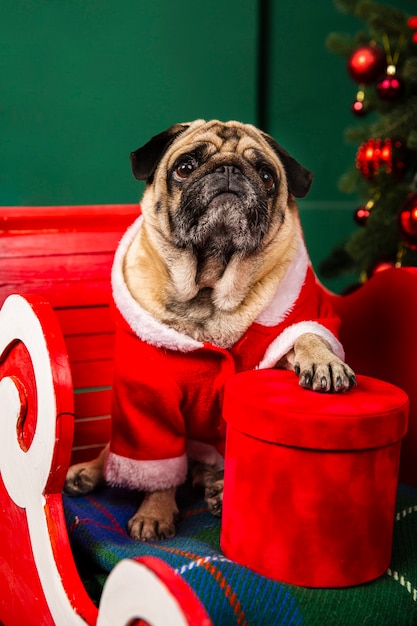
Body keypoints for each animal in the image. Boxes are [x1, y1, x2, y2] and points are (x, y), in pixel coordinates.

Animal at [65, 119, 354, 540]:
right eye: (185, 167)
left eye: (266, 176)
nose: (229, 169)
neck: (211, 286)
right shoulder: (149, 399)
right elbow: (158, 468)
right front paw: (154, 512)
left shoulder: (303, 314)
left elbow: (308, 334)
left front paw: (323, 362)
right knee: (117, 454)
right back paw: (88, 471)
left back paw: (216, 488)